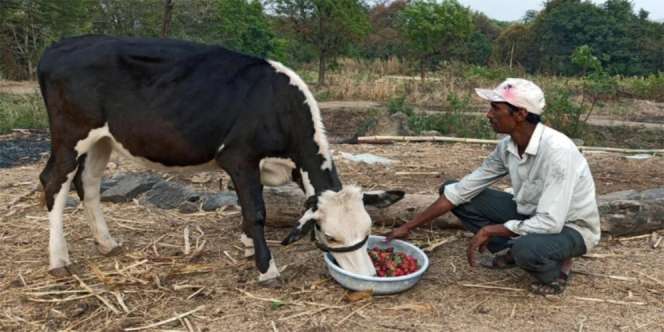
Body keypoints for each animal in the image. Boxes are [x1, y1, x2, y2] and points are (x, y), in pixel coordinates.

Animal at [37, 35, 404, 286]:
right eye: (330, 236)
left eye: (369, 228)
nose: (369, 275)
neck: (277, 105)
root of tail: (60, 46)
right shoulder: (238, 156)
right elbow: (256, 211)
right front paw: (266, 268)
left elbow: (248, 206)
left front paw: (247, 246)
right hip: (70, 134)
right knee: (54, 181)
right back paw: (58, 259)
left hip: (103, 139)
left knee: (88, 183)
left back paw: (107, 243)